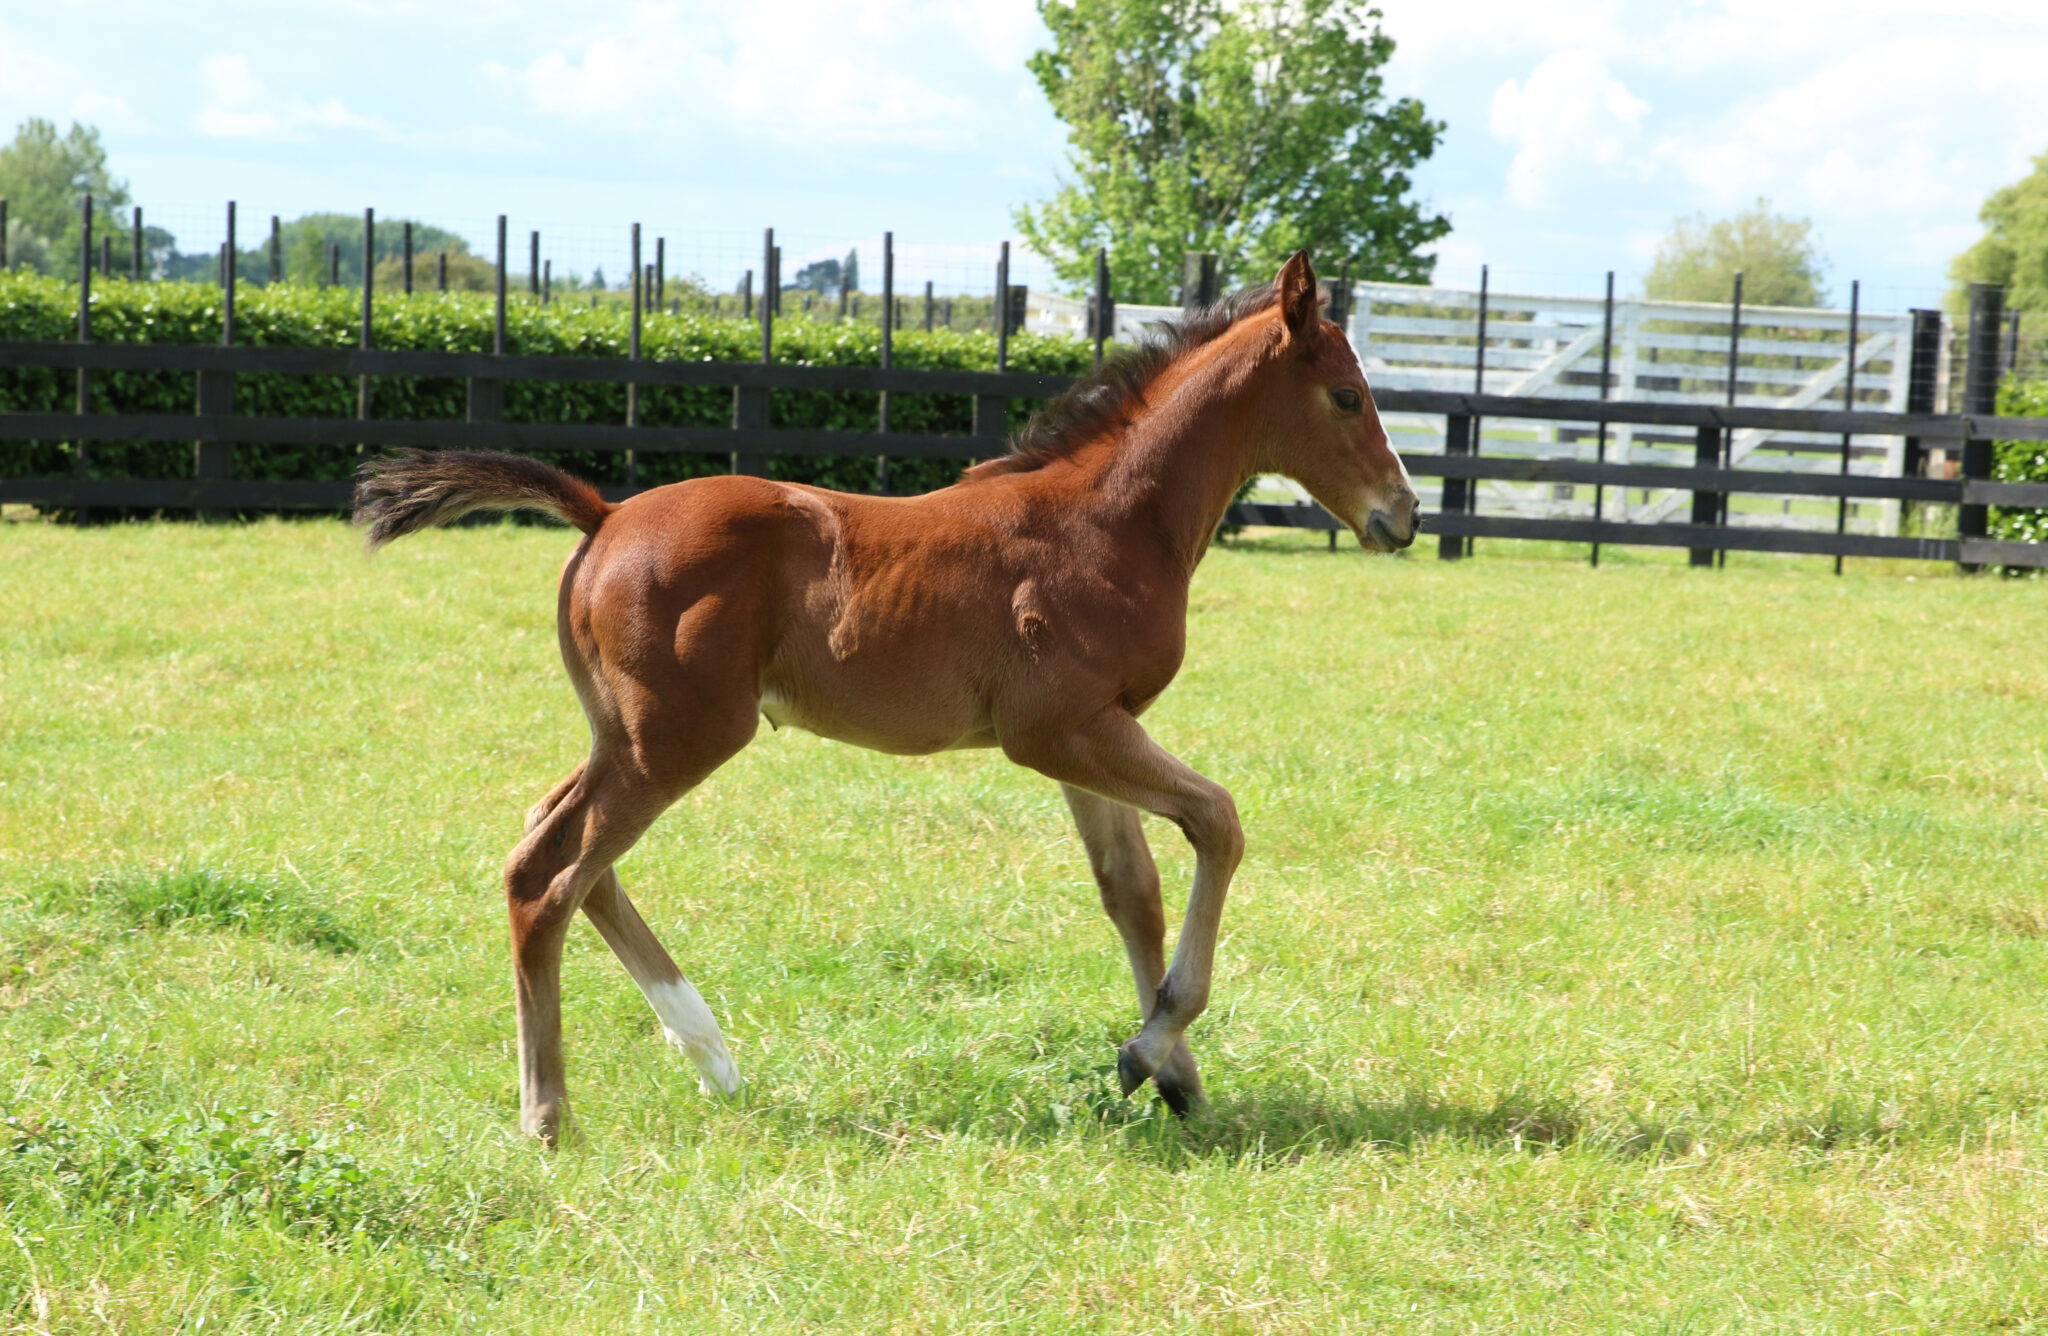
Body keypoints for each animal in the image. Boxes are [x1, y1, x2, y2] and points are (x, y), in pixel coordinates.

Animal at [356, 256, 1409, 1139]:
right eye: (1348, 395)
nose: (1402, 515)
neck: (1108, 521)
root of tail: (604, 514)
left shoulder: (1092, 734)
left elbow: (1133, 891)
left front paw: (1169, 1072)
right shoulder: (1058, 731)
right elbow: (1218, 823)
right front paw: (1156, 1042)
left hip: (628, 737)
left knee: (565, 848)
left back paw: (710, 1052)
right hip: (677, 739)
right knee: (548, 876)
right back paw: (549, 1114)